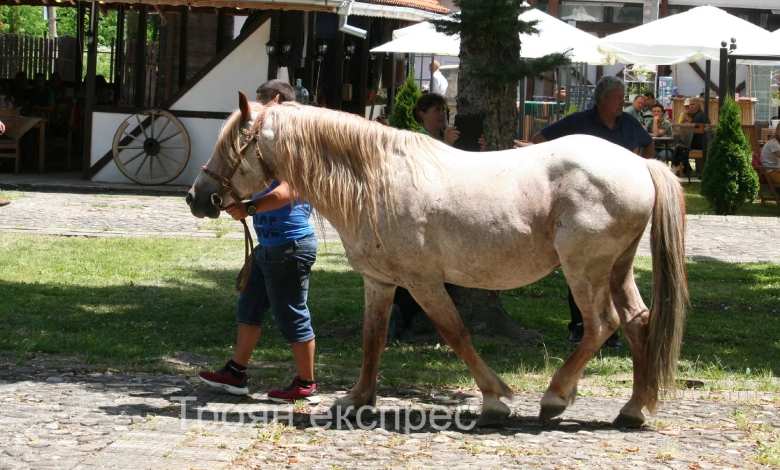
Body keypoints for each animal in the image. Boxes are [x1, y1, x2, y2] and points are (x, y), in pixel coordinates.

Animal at [186, 91, 684, 426]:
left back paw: (556, 398)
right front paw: (357, 400)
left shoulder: (422, 281)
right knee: (638, 321)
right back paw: (634, 409)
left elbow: (456, 334)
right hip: (617, 268)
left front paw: (495, 400)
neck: (375, 180)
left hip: (584, 270)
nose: (198, 196)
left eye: (232, 145)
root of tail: (641, 164)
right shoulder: (381, 281)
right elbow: (373, 339)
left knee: (601, 325)